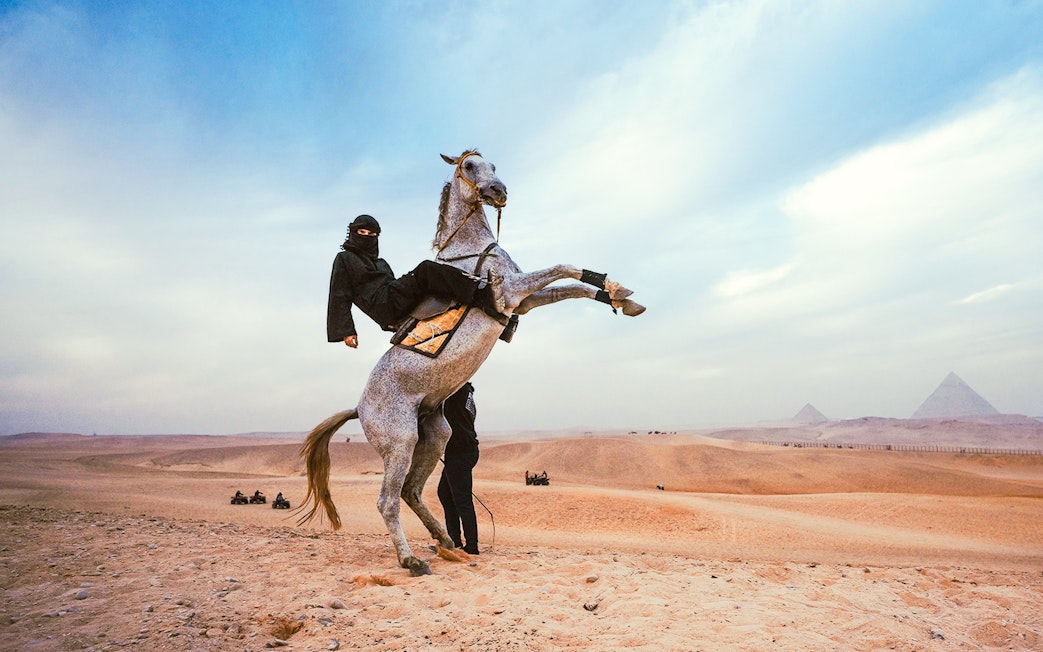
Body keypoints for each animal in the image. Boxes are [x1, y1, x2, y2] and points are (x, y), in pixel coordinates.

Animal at [298, 150, 644, 575]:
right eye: (468, 166)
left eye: (493, 165)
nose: (499, 191)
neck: (468, 252)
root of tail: (359, 409)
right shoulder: (511, 291)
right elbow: (562, 268)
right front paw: (618, 290)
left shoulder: (524, 301)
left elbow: (569, 286)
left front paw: (621, 296)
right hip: (400, 444)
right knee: (387, 501)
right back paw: (411, 560)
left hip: (434, 436)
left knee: (412, 491)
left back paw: (447, 542)